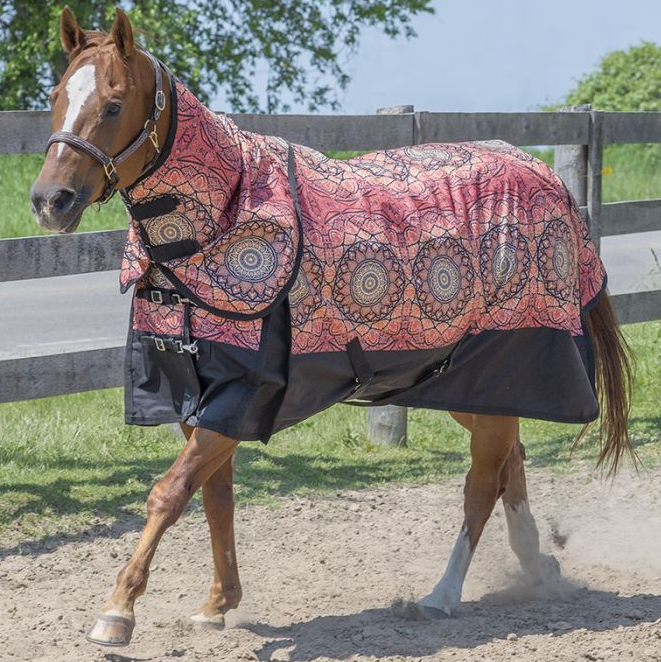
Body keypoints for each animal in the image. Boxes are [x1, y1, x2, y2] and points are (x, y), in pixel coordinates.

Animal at [30, 7, 634, 648]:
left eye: (113, 104)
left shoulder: (241, 397)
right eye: (55, 97)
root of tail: (549, 180)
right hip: (467, 388)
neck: (221, 221)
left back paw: (442, 596)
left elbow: (169, 493)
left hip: (499, 371)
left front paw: (117, 611)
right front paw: (218, 603)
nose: (49, 200)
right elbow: (215, 497)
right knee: (507, 465)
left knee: (481, 483)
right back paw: (536, 565)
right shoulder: (199, 398)